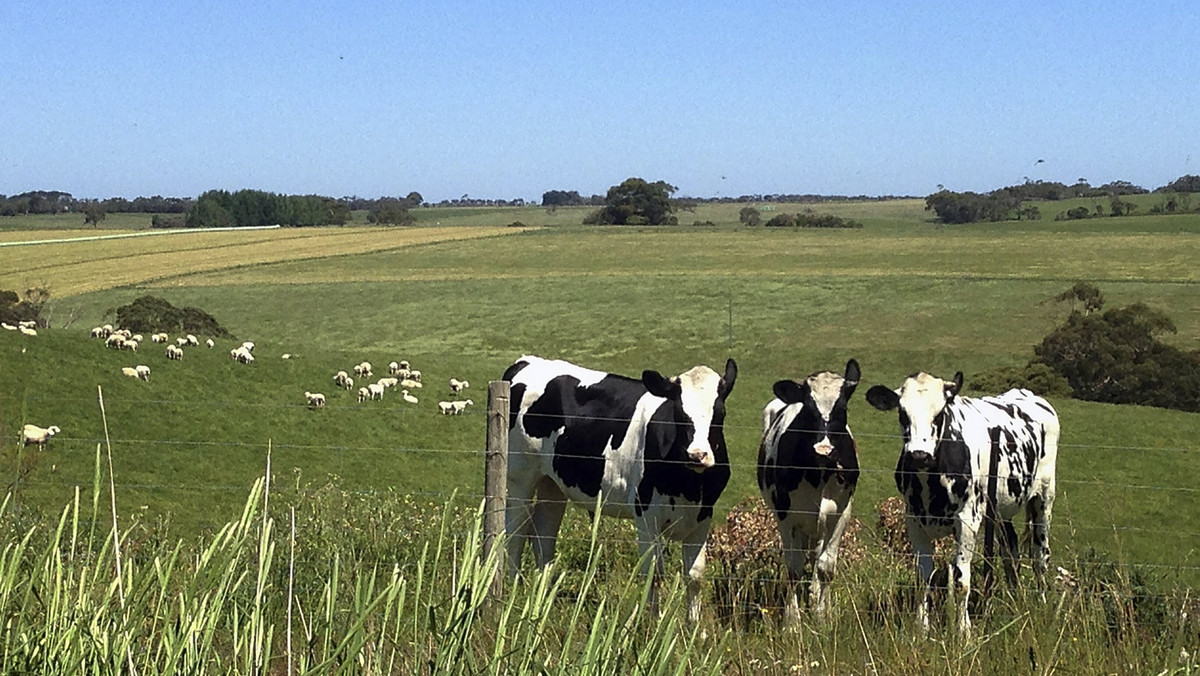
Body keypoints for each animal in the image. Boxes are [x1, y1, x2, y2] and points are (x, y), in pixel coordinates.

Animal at [501, 357, 734, 619]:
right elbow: (653, 574)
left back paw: (543, 594)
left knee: (544, 535)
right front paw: (652, 623)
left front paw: (692, 626)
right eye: (679, 413)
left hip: (552, 484)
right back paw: (514, 591)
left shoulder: (703, 517)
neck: (688, 486)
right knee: (516, 533)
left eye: (720, 413)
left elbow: (694, 576)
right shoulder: (646, 516)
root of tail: (527, 361)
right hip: (520, 476)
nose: (697, 455)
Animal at [758, 360, 864, 624]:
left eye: (842, 408)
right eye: (808, 409)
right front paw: (792, 621)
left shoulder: (841, 513)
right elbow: (794, 568)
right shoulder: (785, 515)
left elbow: (826, 566)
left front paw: (822, 615)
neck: (819, 475)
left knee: (816, 556)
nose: (823, 449)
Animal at [864, 369, 1060, 633]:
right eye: (902, 413)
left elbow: (960, 581)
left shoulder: (968, 520)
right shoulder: (914, 520)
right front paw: (921, 628)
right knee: (1011, 552)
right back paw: (1013, 601)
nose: (919, 455)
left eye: (939, 413)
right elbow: (923, 577)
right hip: (1001, 510)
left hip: (1044, 499)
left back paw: (1041, 606)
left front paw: (963, 630)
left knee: (1040, 556)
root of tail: (1029, 394)